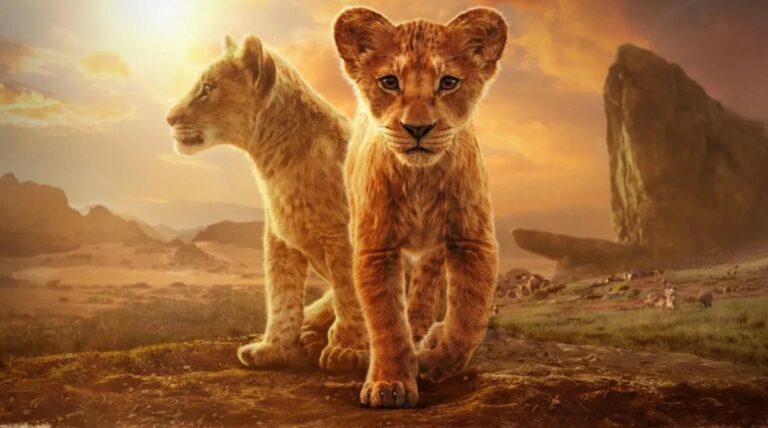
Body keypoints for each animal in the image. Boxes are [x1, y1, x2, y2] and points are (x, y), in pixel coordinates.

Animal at [165, 35, 369, 371]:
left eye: (208, 87)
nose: (168, 119)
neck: (275, 161)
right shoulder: (278, 237)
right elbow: (281, 294)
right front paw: (273, 348)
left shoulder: (345, 236)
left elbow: (350, 292)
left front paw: (347, 350)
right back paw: (310, 333)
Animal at [334, 7, 506, 408]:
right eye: (389, 81)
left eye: (448, 82)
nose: (417, 128)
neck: (420, 179)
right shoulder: (375, 247)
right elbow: (386, 321)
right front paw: (389, 384)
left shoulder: (473, 241)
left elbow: (469, 320)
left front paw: (432, 355)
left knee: (426, 286)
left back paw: (423, 330)